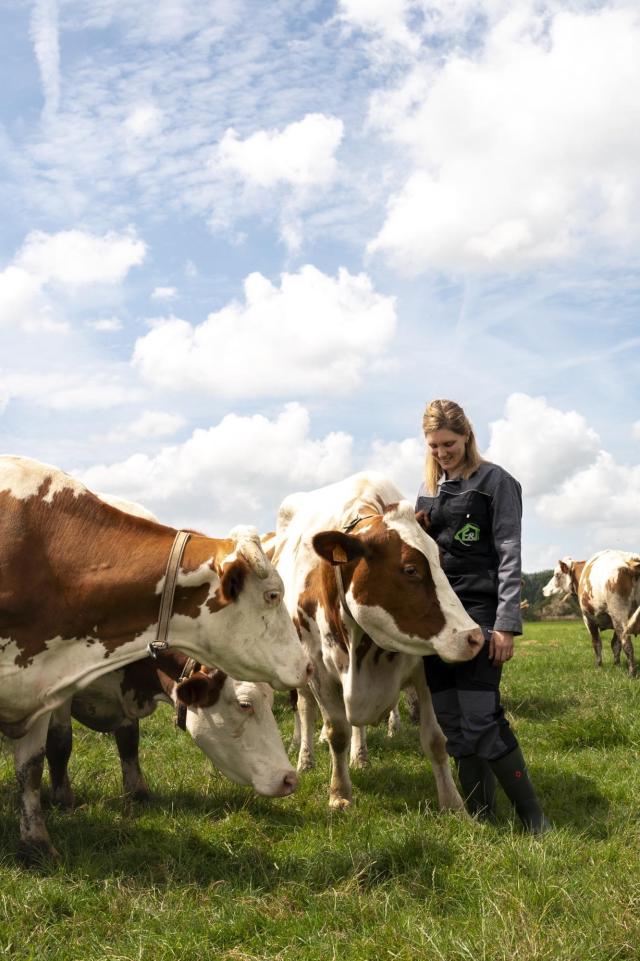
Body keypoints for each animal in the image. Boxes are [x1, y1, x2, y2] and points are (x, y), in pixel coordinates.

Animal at [47, 652, 298, 804]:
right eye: (245, 704)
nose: (290, 779)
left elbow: (129, 743)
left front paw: (137, 793)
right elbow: (60, 744)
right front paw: (63, 800)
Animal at [270, 472, 484, 808]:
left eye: (441, 563)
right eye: (410, 569)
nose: (473, 637)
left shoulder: (424, 670)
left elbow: (435, 739)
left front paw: (452, 802)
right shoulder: (319, 672)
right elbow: (337, 732)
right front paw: (340, 795)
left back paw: (360, 756)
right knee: (305, 709)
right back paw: (306, 758)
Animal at [544, 548, 640, 676]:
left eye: (556, 575)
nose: (544, 589)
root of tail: (631, 561)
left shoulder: (589, 619)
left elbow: (597, 643)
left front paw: (598, 666)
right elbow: (615, 644)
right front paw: (617, 665)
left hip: (619, 613)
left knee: (627, 643)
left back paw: (631, 673)